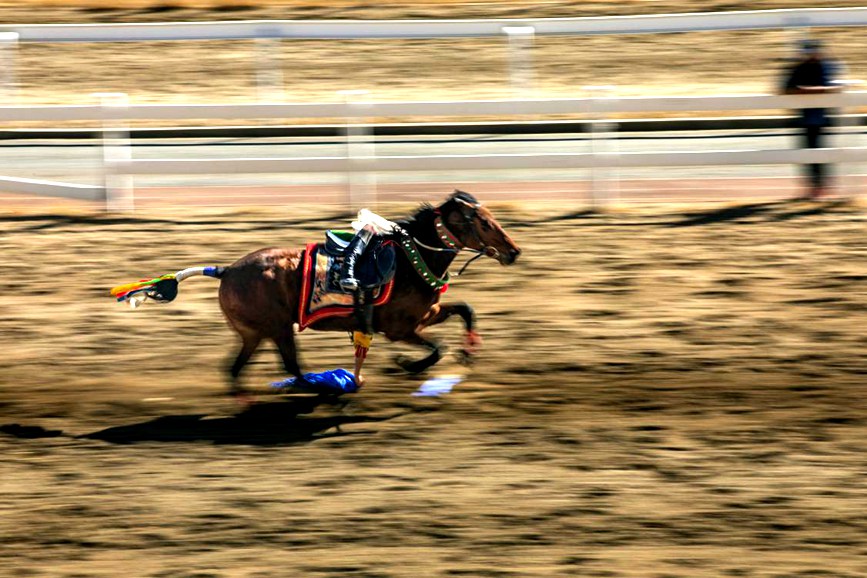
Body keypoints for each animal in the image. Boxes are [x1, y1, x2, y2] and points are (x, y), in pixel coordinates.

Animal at [107, 191, 516, 394]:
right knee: (290, 366)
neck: (407, 258)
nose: (514, 251)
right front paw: (402, 364)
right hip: (275, 328)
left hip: (255, 333)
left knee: (237, 369)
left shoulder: (424, 314)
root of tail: (227, 270)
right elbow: (436, 349)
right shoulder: (398, 327)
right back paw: (325, 386)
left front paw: (469, 351)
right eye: (483, 222)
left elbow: (466, 309)